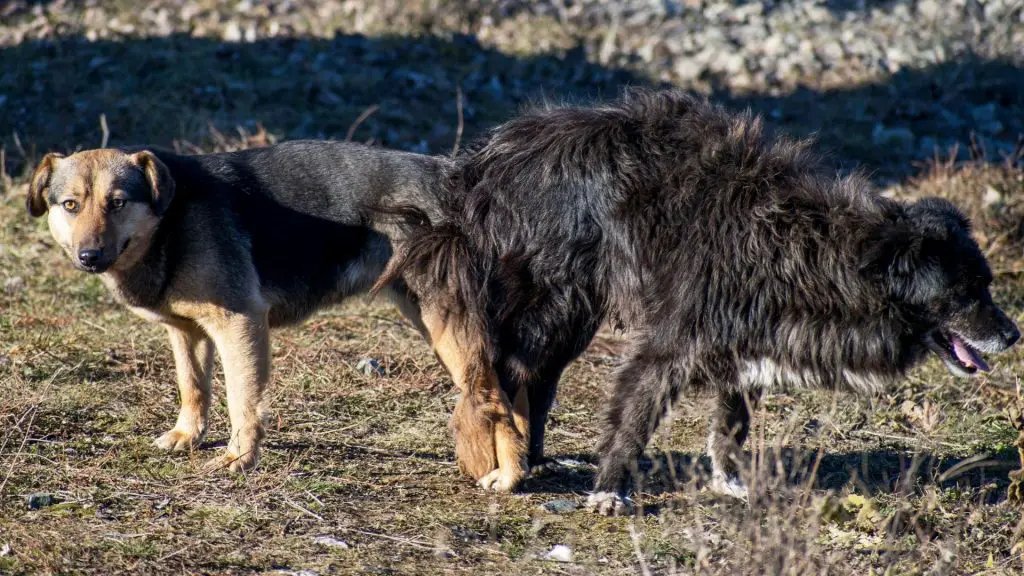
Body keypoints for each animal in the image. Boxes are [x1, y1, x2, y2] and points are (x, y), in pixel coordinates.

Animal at [25, 141, 452, 473]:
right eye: (70, 205)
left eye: (117, 203)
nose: (89, 256)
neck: (171, 219)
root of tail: (449, 174)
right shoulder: (187, 331)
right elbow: (192, 385)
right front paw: (188, 435)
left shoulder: (239, 323)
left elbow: (242, 399)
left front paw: (240, 458)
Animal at [376, 88, 1015, 510]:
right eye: (964, 293)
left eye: (985, 285)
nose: (1013, 334)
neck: (814, 249)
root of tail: (483, 164)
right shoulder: (666, 347)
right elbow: (633, 420)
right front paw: (609, 491)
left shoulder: (744, 346)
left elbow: (731, 425)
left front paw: (728, 482)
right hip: (550, 307)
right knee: (506, 374)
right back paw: (510, 466)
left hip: (571, 319)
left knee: (536, 380)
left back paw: (534, 457)